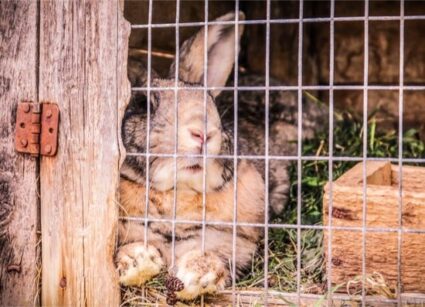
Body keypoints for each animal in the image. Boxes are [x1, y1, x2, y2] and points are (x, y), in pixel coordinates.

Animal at [117, 12, 264, 300]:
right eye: (145, 104)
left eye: (212, 102)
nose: (203, 133)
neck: (177, 192)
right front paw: (137, 261)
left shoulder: (234, 239)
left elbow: (216, 255)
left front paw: (197, 274)